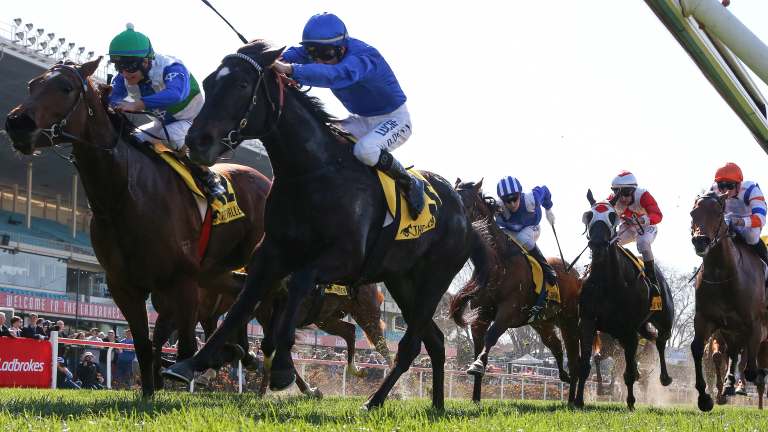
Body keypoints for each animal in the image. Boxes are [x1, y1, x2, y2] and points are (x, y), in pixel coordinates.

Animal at [3, 59, 272, 396]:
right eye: (32, 84)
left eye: (65, 87)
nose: (16, 122)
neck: (124, 195)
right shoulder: (125, 286)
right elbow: (144, 346)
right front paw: (148, 394)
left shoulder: (183, 281)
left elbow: (184, 347)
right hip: (215, 273)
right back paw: (241, 353)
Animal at [165, 41, 496, 412]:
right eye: (209, 82)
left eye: (241, 84)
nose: (197, 140)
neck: (313, 173)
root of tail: (465, 219)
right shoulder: (271, 253)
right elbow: (243, 303)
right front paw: (192, 362)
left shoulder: (343, 257)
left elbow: (299, 283)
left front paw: (281, 368)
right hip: (402, 281)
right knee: (435, 341)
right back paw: (435, 404)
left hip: (433, 280)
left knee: (410, 346)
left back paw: (374, 400)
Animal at [450, 178, 584, 402]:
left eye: (463, 202)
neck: (498, 263)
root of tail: (576, 274)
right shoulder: (481, 313)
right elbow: (479, 345)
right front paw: (475, 397)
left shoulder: (508, 311)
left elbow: (491, 336)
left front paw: (476, 366)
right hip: (542, 322)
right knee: (557, 347)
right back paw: (564, 379)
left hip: (570, 320)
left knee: (575, 358)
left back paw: (574, 400)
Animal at [572, 192, 676, 408]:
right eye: (588, 215)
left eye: (612, 216)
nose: (598, 244)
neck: (607, 283)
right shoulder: (588, 321)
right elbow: (585, 364)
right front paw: (578, 400)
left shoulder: (629, 330)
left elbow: (627, 372)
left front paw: (630, 402)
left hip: (663, 321)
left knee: (661, 341)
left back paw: (664, 378)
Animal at [688, 193, 768, 412]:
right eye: (693, 213)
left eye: (718, 213)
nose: (700, 241)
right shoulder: (707, 320)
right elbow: (698, 349)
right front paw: (705, 398)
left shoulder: (754, 325)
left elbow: (750, 368)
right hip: (731, 331)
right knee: (732, 355)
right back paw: (729, 384)